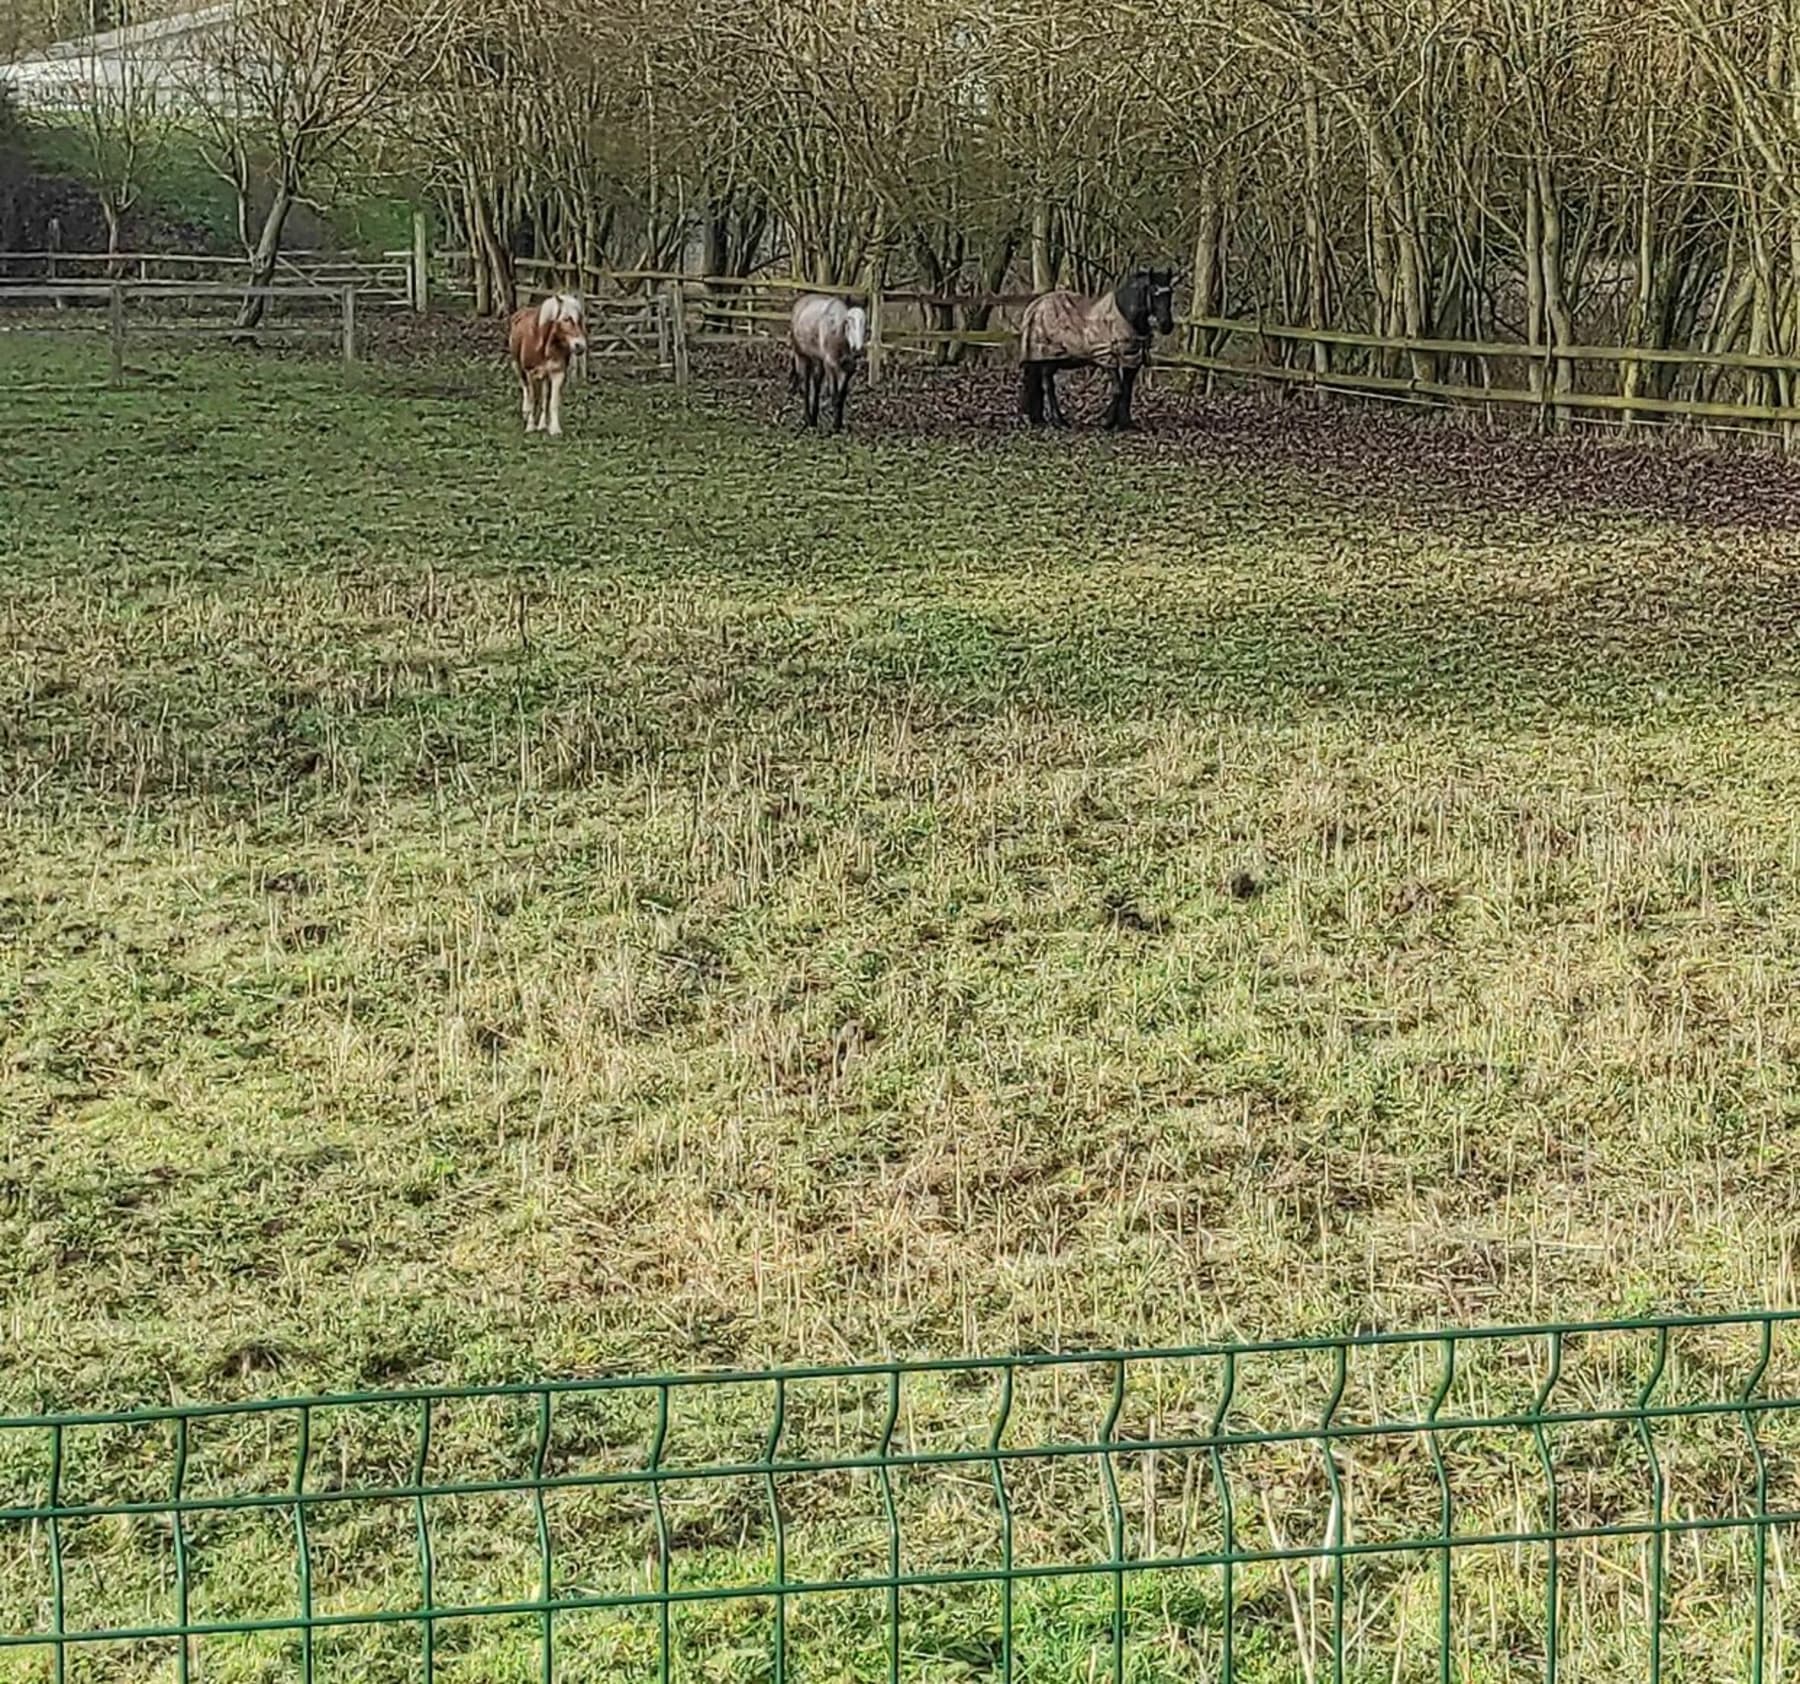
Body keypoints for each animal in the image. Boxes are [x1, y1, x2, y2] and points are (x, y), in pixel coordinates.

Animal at [507, 295, 590, 440]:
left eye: (580, 319)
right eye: (566, 318)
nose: (580, 346)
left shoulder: (558, 373)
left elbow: (552, 402)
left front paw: (555, 429)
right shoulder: (529, 372)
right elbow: (532, 399)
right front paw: (530, 427)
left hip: (545, 375)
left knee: (545, 398)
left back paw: (542, 425)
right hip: (518, 367)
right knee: (525, 388)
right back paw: (526, 414)